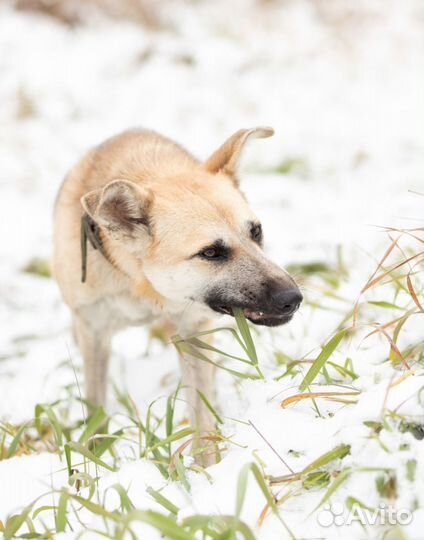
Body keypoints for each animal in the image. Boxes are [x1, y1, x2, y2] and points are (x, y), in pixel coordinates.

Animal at [53, 126, 304, 460]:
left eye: (256, 232)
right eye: (210, 252)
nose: (292, 298)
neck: (143, 288)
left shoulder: (193, 331)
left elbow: (202, 416)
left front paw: (206, 467)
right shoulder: (93, 330)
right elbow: (96, 407)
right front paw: (96, 456)